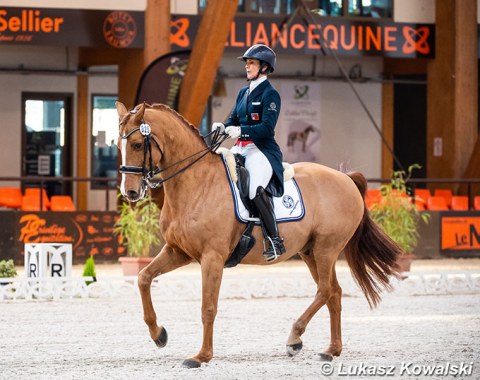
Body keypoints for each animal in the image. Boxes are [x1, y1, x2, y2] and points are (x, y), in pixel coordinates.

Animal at [115, 101, 402, 368]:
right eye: (119, 144)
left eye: (138, 145)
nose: (130, 192)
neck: (196, 183)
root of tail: (345, 178)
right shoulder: (179, 252)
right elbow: (143, 278)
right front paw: (159, 334)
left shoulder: (212, 257)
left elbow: (208, 307)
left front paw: (201, 356)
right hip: (311, 251)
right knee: (334, 292)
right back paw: (331, 350)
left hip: (326, 248)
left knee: (325, 290)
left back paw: (294, 338)